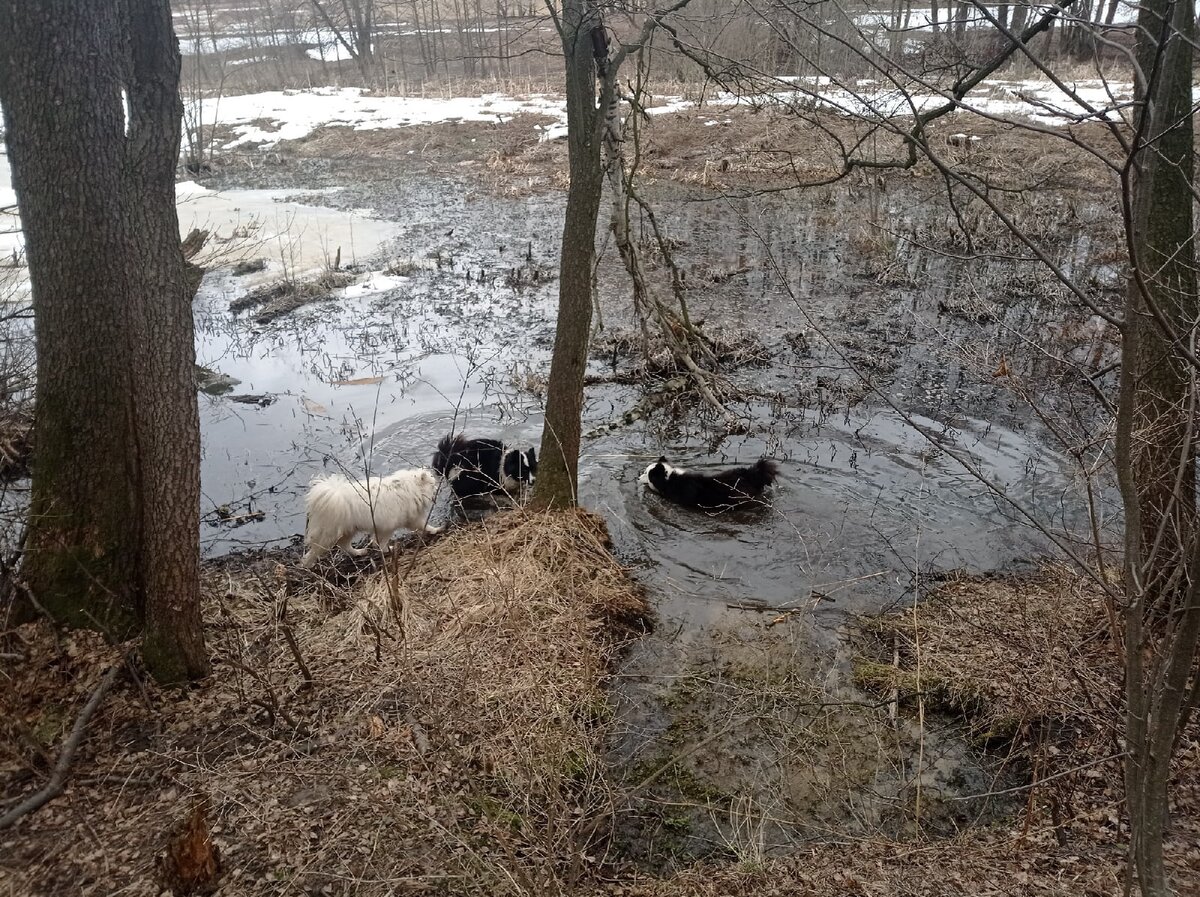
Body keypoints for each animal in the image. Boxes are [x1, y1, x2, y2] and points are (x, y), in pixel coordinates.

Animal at [302, 470, 444, 568]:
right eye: (433, 484)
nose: (439, 488)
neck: (410, 487)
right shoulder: (388, 526)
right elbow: (381, 543)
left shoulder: (408, 519)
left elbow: (423, 525)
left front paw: (434, 530)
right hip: (327, 536)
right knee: (312, 553)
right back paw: (307, 566)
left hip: (348, 530)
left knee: (344, 546)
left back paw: (359, 552)